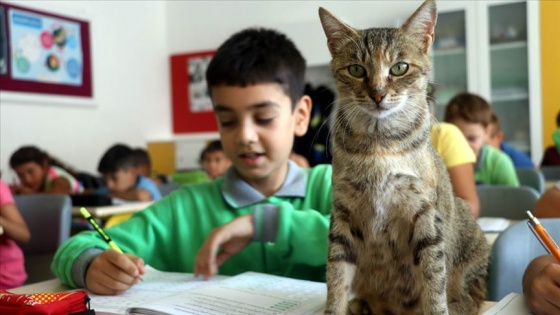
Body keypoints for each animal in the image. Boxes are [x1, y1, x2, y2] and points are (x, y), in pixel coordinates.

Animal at [320, 0, 490, 315]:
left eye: (399, 68)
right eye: (356, 69)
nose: (377, 94)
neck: (380, 144)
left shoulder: (425, 213)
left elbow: (433, 280)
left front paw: (437, 308)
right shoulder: (342, 214)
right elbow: (335, 277)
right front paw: (336, 307)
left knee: (471, 297)